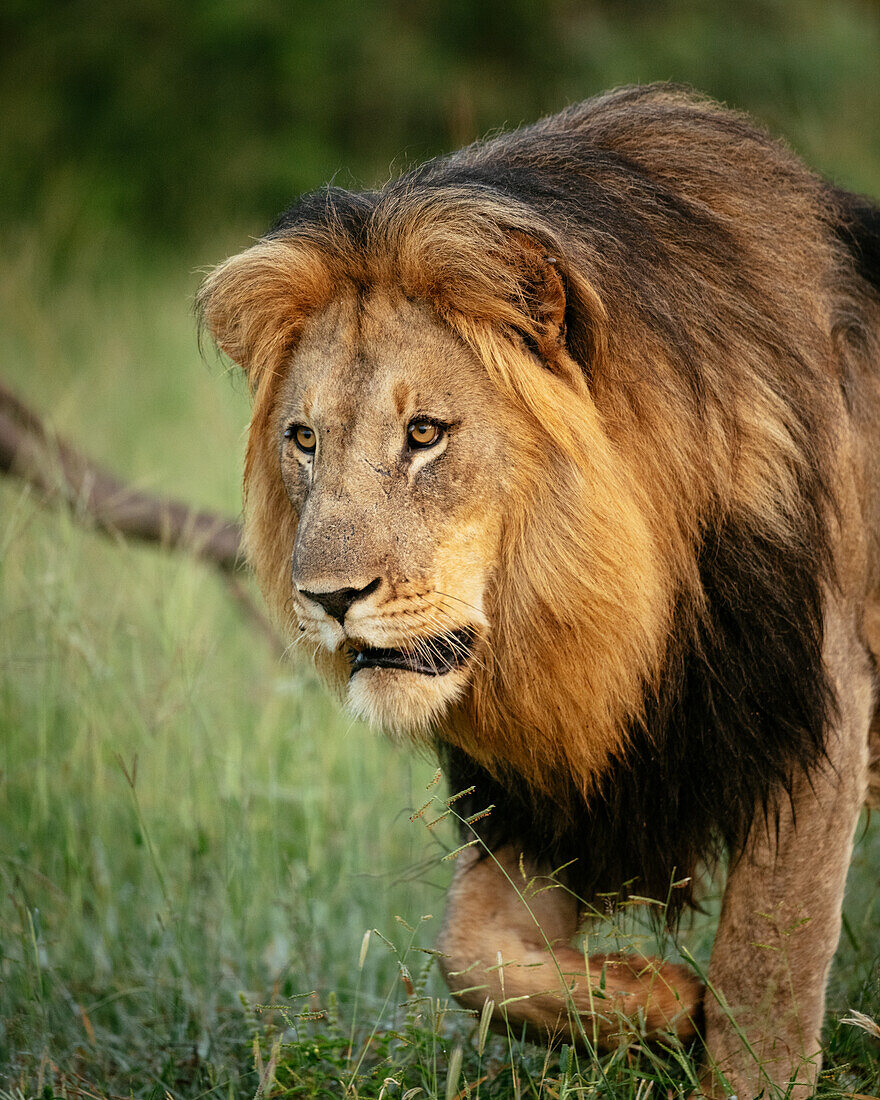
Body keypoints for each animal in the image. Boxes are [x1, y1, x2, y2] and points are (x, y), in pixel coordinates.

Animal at [199, 88, 880, 1100]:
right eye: (305, 439)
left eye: (426, 433)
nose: (325, 599)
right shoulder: (560, 777)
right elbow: (470, 957)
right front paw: (665, 1006)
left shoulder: (813, 704)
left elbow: (766, 980)